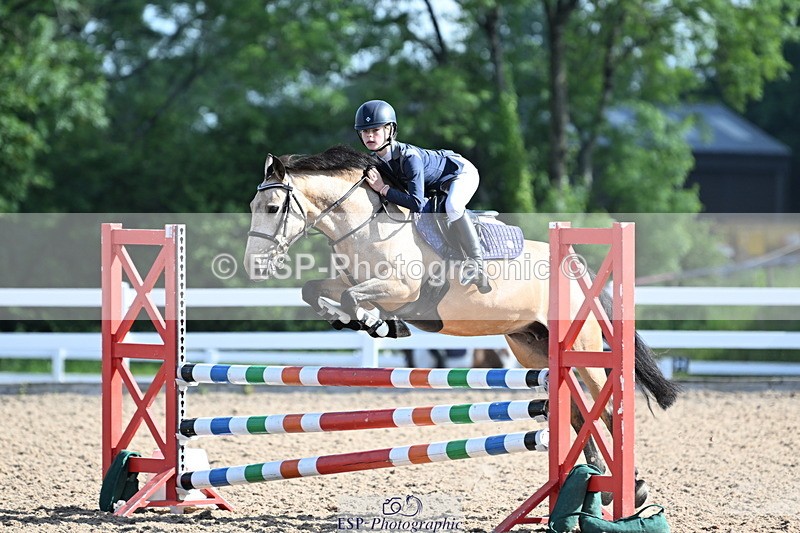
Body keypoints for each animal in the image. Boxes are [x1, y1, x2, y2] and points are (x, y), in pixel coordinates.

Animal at [244, 144, 679, 506]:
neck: (366, 226)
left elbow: (355, 299)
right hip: (532, 346)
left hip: (582, 347)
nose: (254, 266)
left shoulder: (401, 289)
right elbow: (314, 290)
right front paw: (356, 321)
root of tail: (576, 269)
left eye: (272, 208)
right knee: (574, 411)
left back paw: (634, 488)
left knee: (605, 412)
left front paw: (380, 325)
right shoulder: (352, 281)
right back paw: (592, 481)